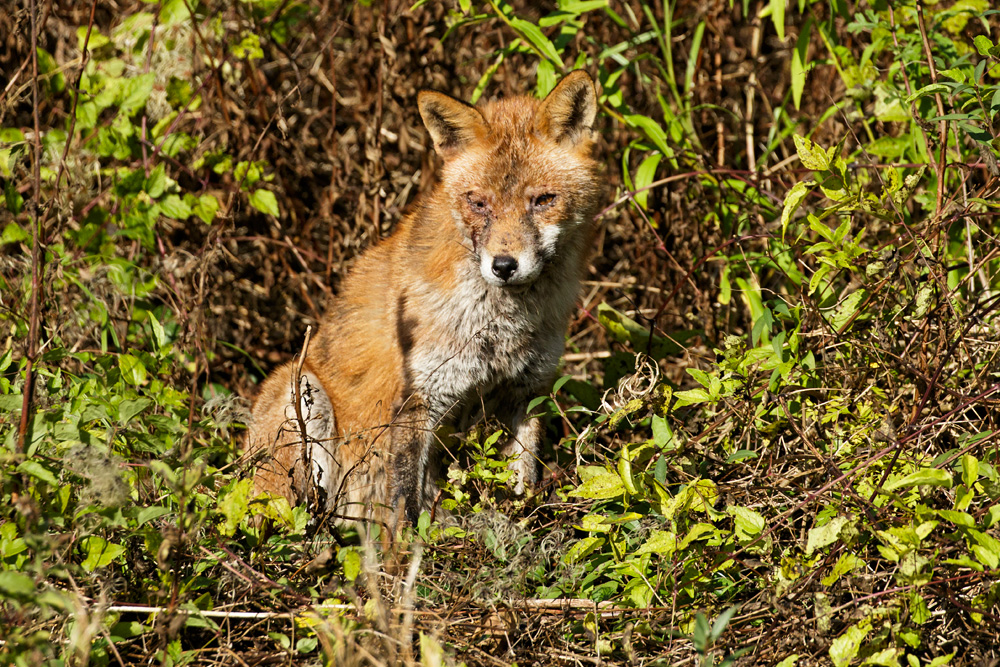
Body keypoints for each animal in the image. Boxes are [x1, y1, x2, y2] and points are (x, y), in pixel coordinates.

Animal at [245, 70, 602, 531]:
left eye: (543, 200)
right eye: (477, 203)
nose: (504, 266)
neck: (500, 327)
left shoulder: (525, 390)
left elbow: (522, 479)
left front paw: (519, 524)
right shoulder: (418, 396)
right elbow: (404, 501)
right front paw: (408, 547)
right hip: (303, 396)